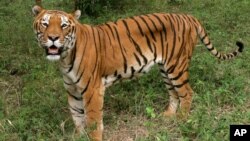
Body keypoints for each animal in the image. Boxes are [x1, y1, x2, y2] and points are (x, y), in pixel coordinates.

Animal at [32, 4, 243, 140]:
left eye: (64, 25)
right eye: (45, 23)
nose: (53, 38)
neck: (64, 58)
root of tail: (188, 16)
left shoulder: (92, 90)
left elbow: (92, 121)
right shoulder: (73, 90)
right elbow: (77, 117)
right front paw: (78, 136)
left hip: (177, 66)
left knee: (187, 93)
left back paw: (182, 120)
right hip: (166, 69)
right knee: (174, 93)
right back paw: (168, 115)